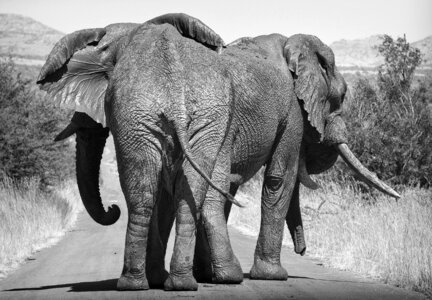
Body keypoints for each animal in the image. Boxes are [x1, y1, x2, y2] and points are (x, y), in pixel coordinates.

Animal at [38, 12, 400, 292]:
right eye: (342, 96)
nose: (304, 250)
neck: (291, 47)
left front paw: (202, 273)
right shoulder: (292, 115)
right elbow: (278, 180)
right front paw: (272, 276)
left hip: (158, 120)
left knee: (156, 189)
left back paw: (148, 282)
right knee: (208, 191)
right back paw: (226, 276)